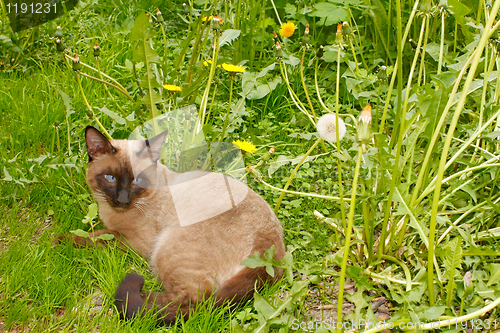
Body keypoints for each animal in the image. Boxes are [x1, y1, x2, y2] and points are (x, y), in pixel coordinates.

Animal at [56, 125, 286, 324]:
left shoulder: (135, 241)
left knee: (197, 300)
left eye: (137, 181)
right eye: (110, 178)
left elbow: (96, 237)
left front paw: (57, 240)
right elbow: (95, 232)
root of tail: (271, 250)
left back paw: (138, 299)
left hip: (164, 249)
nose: (122, 199)